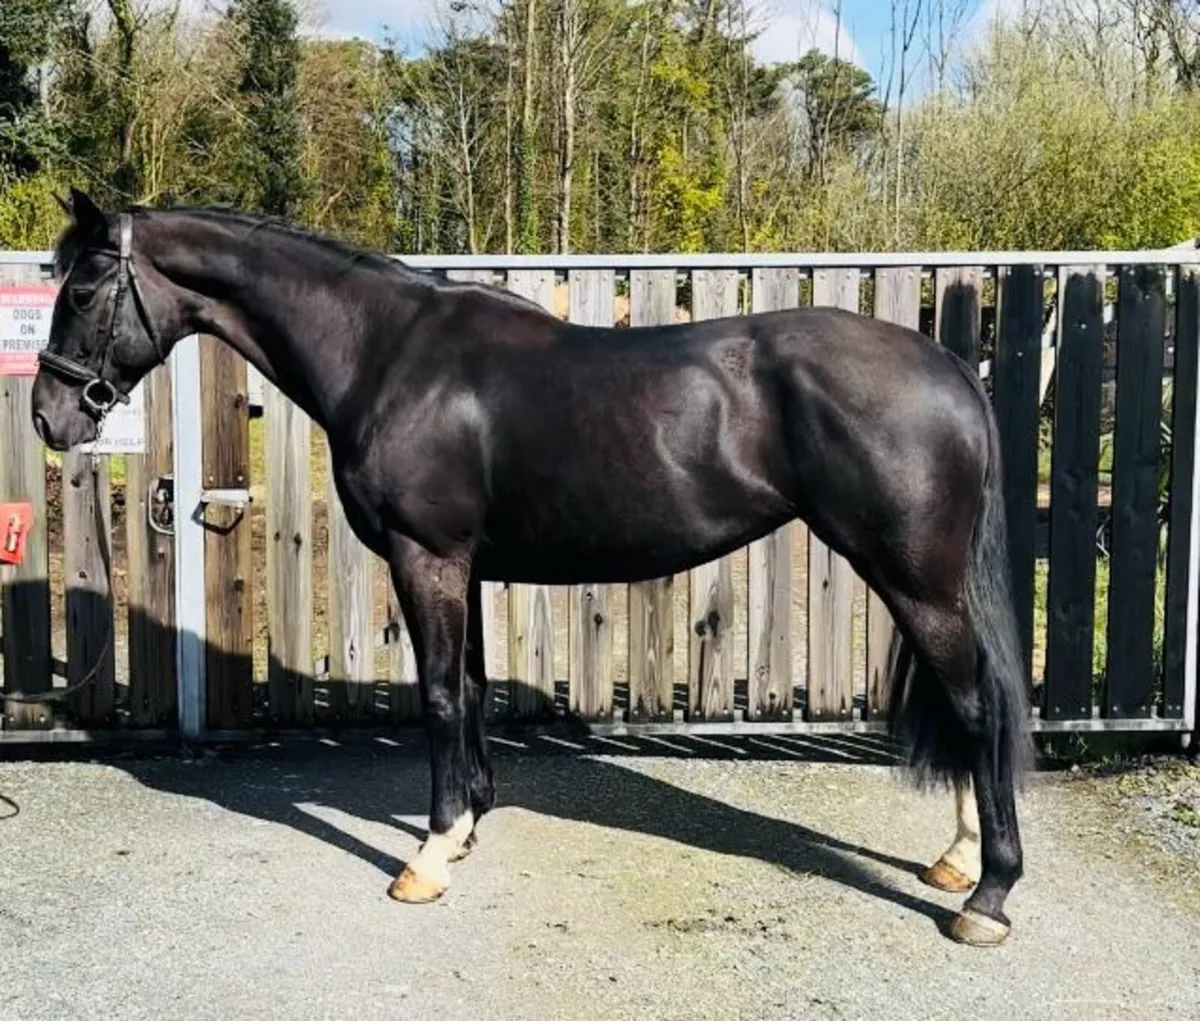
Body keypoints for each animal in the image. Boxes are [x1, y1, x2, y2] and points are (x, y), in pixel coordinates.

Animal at [31, 188, 1032, 947]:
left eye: (83, 289)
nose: (49, 416)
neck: (387, 352)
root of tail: (948, 365)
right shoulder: (463, 567)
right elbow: (471, 688)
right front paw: (470, 823)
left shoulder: (426, 557)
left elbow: (440, 696)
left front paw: (429, 856)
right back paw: (958, 860)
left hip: (916, 582)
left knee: (976, 705)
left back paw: (988, 895)